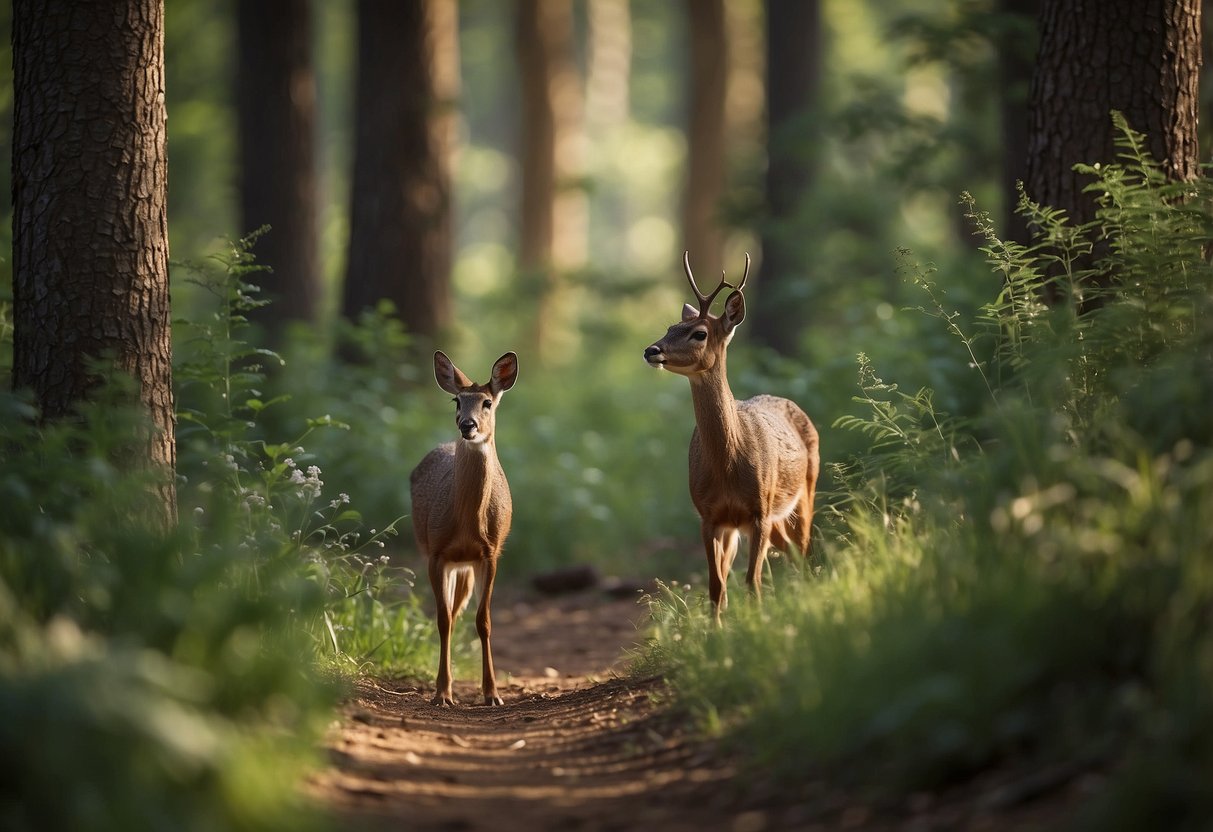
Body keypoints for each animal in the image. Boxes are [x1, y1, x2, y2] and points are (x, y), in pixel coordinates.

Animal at [409, 351, 519, 708]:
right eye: (456, 400)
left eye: (487, 402)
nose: (466, 425)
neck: (468, 523)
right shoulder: (436, 553)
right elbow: (442, 620)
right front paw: (442, 693)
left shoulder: (491, 552)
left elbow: (483, 621)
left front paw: (493, 693)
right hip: (442, 556)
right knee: (451, 615)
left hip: (466, 567)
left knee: (460, 613)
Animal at [640, 254, 819, 625]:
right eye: (669, 327)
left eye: (699, 333)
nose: (651, 350)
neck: (728, 466)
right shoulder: (709, 516)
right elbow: (716, 586)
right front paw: (718, 633)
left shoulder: (759, 511)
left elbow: (751, 583)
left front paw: (755, 628)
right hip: (754, 525)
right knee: (788, 556)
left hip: (803, 494)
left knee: (802, 553)